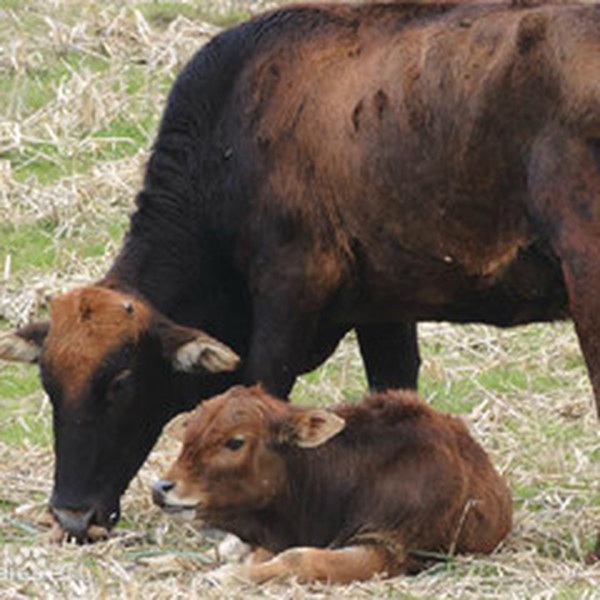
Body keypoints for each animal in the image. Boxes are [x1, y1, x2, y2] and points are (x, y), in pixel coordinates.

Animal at [1, 2, 600, 540]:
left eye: (121, 383)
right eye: (48, 385)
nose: (73, 516)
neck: (229, 141)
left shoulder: (290, 288)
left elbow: (262, 385)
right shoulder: (383, 306)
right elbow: (394, 387)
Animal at [152, 386, 512, 584]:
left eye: (235, 442)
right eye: (189, 434)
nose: (161, 488)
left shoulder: (387, 548)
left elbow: (300, 559)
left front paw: (227, 577)